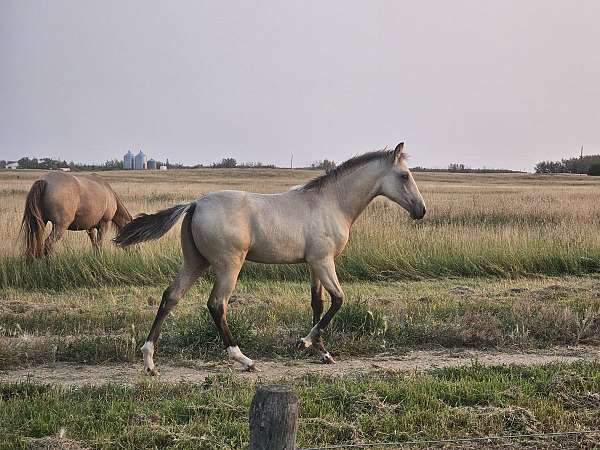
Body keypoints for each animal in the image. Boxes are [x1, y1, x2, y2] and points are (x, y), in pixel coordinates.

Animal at [115, 142, 426, 374]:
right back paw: (244, 359)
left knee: (171, 297)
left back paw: (149, 361)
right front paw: (304, 343)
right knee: (217, 304)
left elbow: (317, 303)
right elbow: (338, 300)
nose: (420, 210)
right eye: (404, 175)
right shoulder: (324, 261)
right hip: (229, 265)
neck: (331, 204)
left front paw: (322, 352)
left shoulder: (313, 264)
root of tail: (194, 204)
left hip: (195, 262)